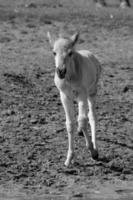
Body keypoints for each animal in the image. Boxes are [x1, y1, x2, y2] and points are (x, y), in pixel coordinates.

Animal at [47, 32, 101, 166]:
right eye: (54, 52)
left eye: (70, 53)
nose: (60, 71)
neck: (70, 78)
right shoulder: (65, 96)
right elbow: (70, 124)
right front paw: (69, 158)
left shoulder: (82, 94)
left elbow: (82, 120)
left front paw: (92, 151)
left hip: (92, 92)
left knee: (91, 116)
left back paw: (94, 146)